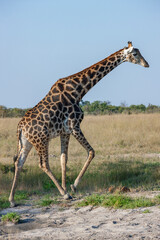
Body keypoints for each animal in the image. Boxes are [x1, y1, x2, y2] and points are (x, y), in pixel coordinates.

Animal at [8, 41, 149, 206]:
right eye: (135, 54)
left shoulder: (65, 131)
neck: (78, 90)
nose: (146, 64)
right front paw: (72, 187)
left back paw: (12, 200)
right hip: (41, 140)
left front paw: (67, 187)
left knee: (19, 163)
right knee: (43, 164)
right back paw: (64, 194)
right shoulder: (75, 126)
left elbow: (63, 159)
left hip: (27, 142)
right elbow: (91, 152)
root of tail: (20, 128)